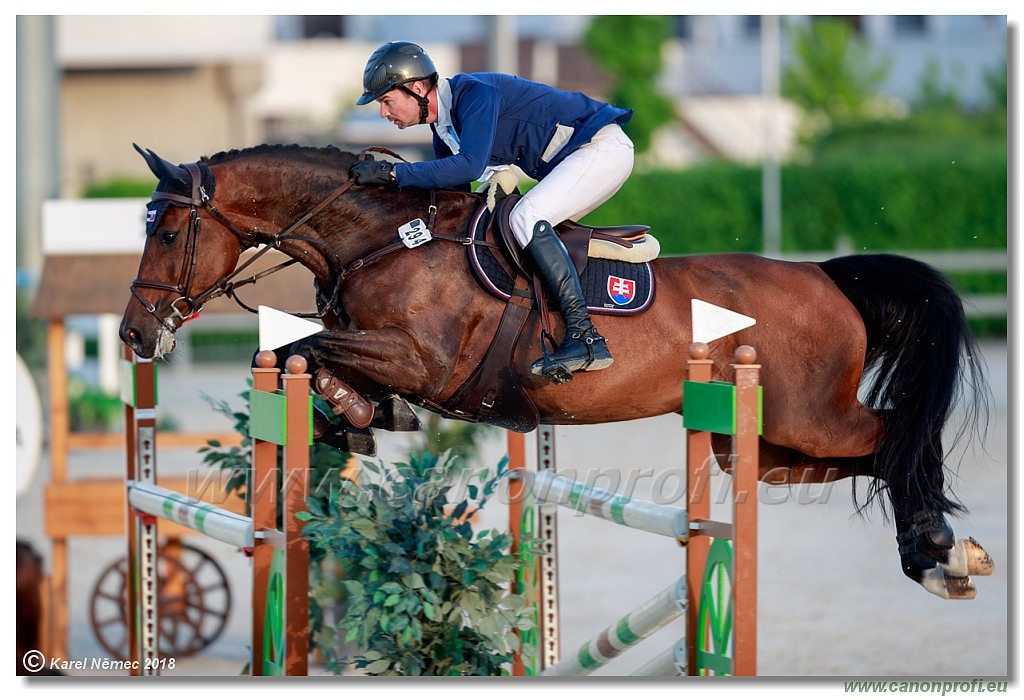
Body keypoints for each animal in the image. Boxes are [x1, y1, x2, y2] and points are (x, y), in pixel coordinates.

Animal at [117, 143, 991, 601]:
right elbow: (306, 356)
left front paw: (358, 414)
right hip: (769, 448)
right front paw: (354, 418)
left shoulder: (422, 359)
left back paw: (941, 553)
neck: (378, 238)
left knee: (899, 437)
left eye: (168, 233)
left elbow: (304, 349)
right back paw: (934, 553)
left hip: (808, 416)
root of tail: (825, 276)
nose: (132, 333)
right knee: (875, 453)